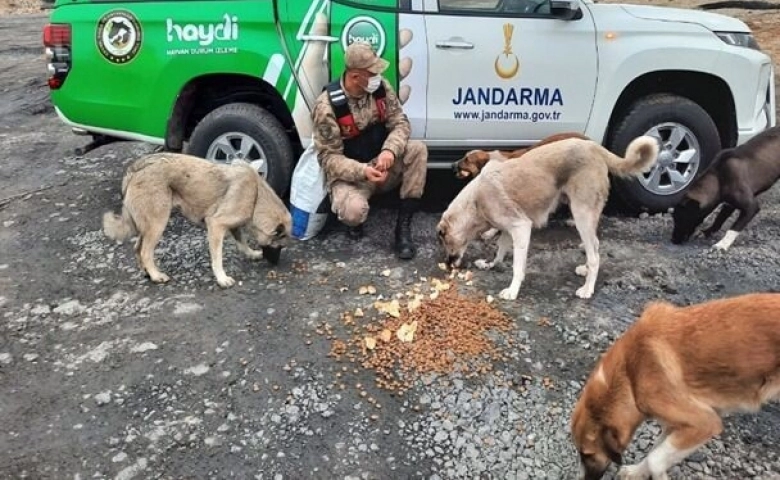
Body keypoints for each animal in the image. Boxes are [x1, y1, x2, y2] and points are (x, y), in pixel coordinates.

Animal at [103, 154, 292, 286]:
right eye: (279, 246)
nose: (276, 265)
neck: (256, 196)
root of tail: (136, 169)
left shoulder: (233, 224)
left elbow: (242, 242)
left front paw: (251, 253)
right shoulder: (216, 225)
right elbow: (217, 257)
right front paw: (222, 278)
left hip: (148, 225)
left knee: (137, 247)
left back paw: (146, 272)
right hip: (158, 224)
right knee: (145, 252)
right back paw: (156, 276)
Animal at [436, 135, 656, 298]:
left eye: (445, 241)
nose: (447, 264)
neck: (475, 201)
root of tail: (594, 147)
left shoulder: (522, 227)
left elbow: (517, 267)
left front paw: (513, 291)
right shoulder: (509, 228)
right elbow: (500, 250)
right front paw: (491, 264)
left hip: (581, 214)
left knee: (595, 256)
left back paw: (587, 288)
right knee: (595, 245)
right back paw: (585, 270)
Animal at [568, 292, 780, 480]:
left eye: (587, 454)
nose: (581, 479)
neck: (630, 374)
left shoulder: (705, 423)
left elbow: (655, 459)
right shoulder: (676, 425)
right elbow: (654, 451)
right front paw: (637, 472)